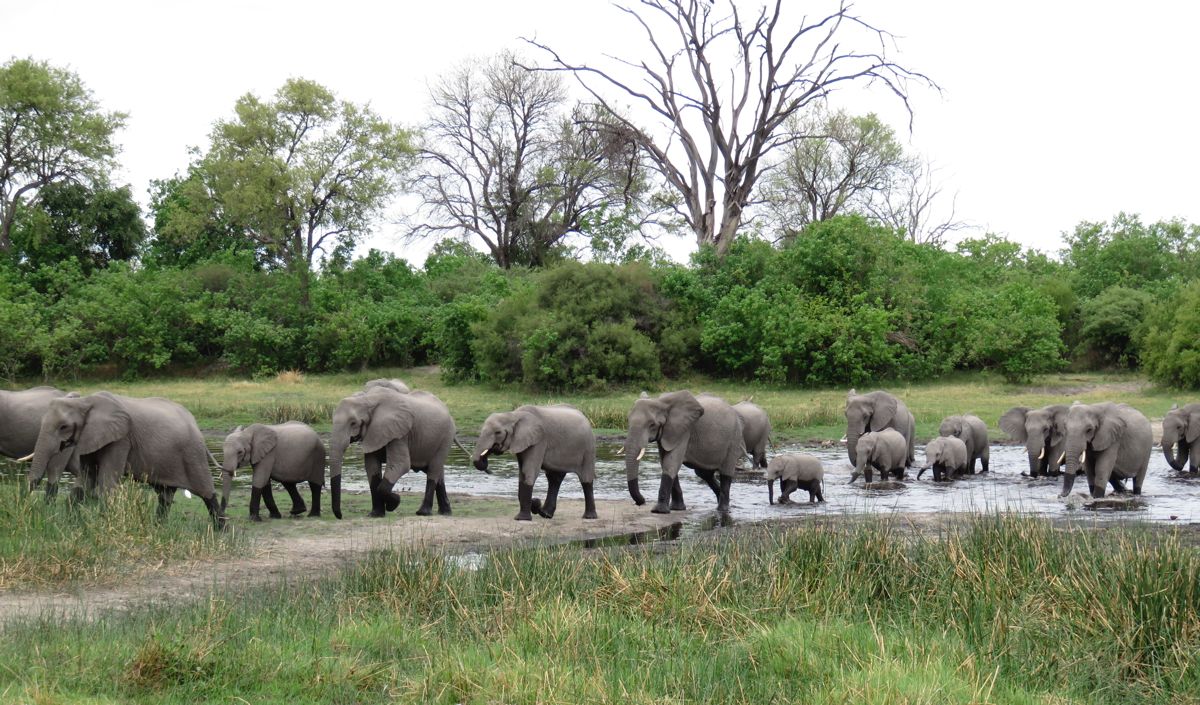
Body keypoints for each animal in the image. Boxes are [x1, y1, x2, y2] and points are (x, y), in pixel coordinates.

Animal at [27, 392, 222, 523]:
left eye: (63, 427)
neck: (85, 401)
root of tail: (195, 423)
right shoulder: (90, 437)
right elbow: (85, 479)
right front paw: (72, 522)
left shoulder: (121, 439)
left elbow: (107, 481)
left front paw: (103, 524)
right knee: (165, 494)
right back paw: (158, 527)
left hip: (192, 453)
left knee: (206, 492)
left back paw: (221, 531)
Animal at [329, 387, 456, 517]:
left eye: (353, 423)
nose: (340, 516)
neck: (366, 400)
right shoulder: (373, 432)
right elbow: (371, 467)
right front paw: (375, 514)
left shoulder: (399, 433)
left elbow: (400, 465)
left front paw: (394, 503)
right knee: (436, 471)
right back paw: (445, 512)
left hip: (446, 437)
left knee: (433, 469)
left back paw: (423, 512)